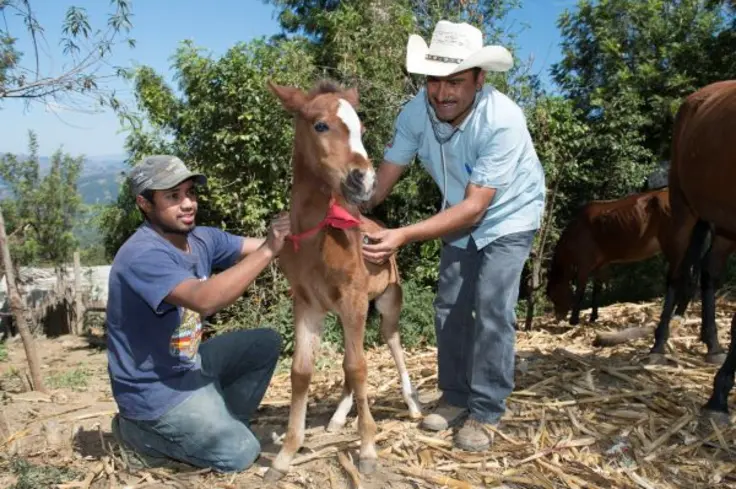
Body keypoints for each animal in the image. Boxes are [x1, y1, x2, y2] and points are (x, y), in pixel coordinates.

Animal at [264, 80, 422, 481]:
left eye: (361, 129)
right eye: (321, 125)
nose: (363, 180)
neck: (315, 237)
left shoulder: (353, 299)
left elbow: (358, 366)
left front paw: (367, 449)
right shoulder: (307, 304)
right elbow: (302, 372)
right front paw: (285, 454)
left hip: (385, 306)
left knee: (391, 344)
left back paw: (413, 406)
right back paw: (337, 417)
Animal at [546, 188, 734, 364]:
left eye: (552, 295)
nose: (558, 316)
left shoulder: (585, 262)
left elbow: (580, 289)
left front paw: (574, 319)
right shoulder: (602, 263)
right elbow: (597, 288)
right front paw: (593, 316)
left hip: (677, 244)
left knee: (681, 278)